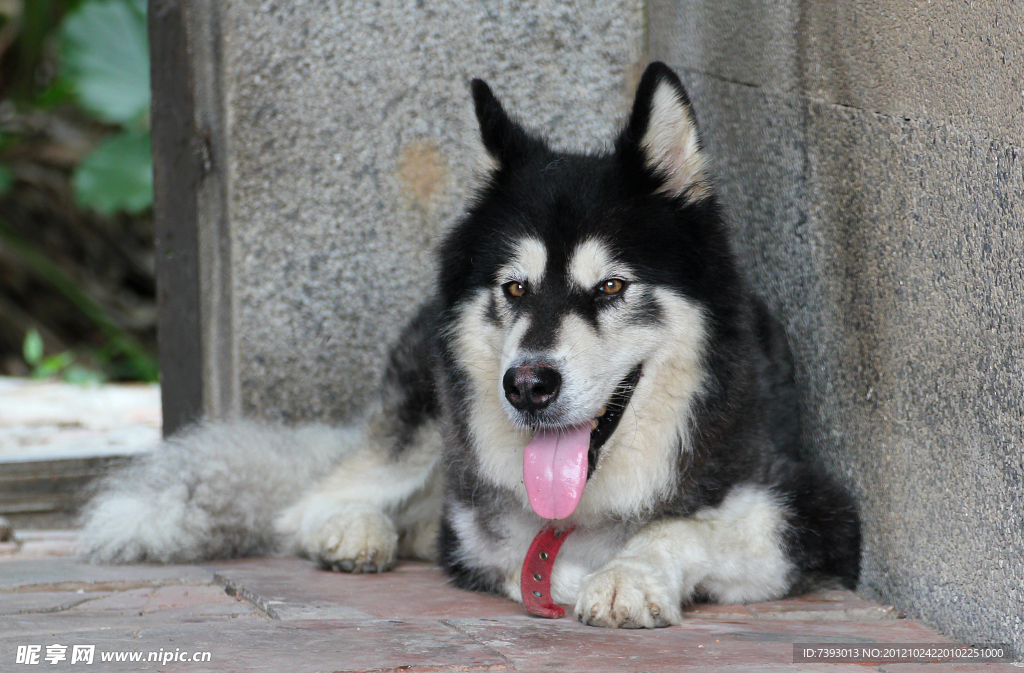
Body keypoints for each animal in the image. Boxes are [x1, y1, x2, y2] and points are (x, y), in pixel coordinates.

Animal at [77, 60, 856, 626]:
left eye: (610, 286)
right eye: (513, 287)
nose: (528, 385)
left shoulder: (812, 509)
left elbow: (683, 529)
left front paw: (626, 574)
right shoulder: (488, 532)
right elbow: (517, 557)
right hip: (424, 418)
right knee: (314, 500)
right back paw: (356, 530)